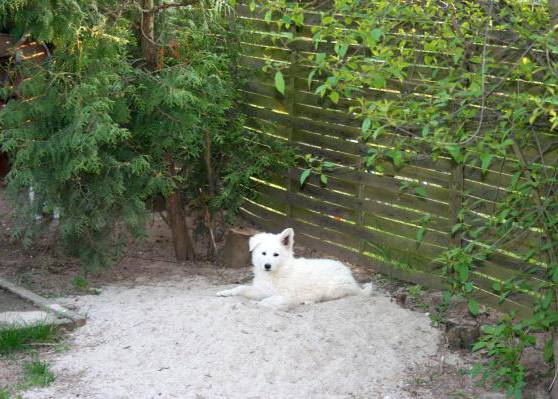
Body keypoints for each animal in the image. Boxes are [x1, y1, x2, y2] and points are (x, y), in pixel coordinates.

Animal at [218, 228, 372, 310]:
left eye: (276, 255)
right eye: (263, 253)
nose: (267, 266)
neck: (276, 273)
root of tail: (350, 274)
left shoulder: (285, 295)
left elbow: (266, 301)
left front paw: (257, 303)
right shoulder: (260, 290)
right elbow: (241, 288)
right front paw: (224, 292)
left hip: (333, 289)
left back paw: (310, 300)